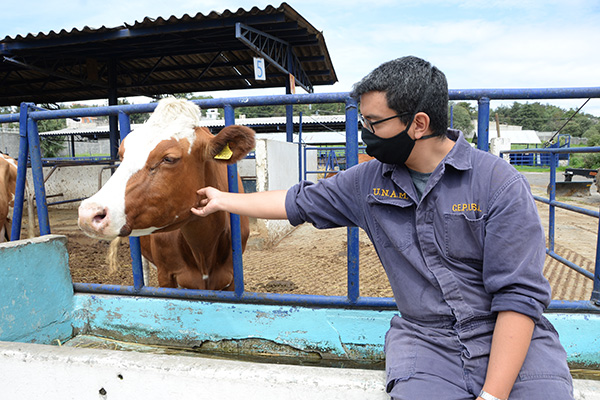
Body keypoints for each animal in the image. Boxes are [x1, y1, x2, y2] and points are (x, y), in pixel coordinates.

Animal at [77, 97, 255, 290]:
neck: (203, 250)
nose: (88, 213)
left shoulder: (232, 279)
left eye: (169, 158)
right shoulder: (166, 275)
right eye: (122, 156)